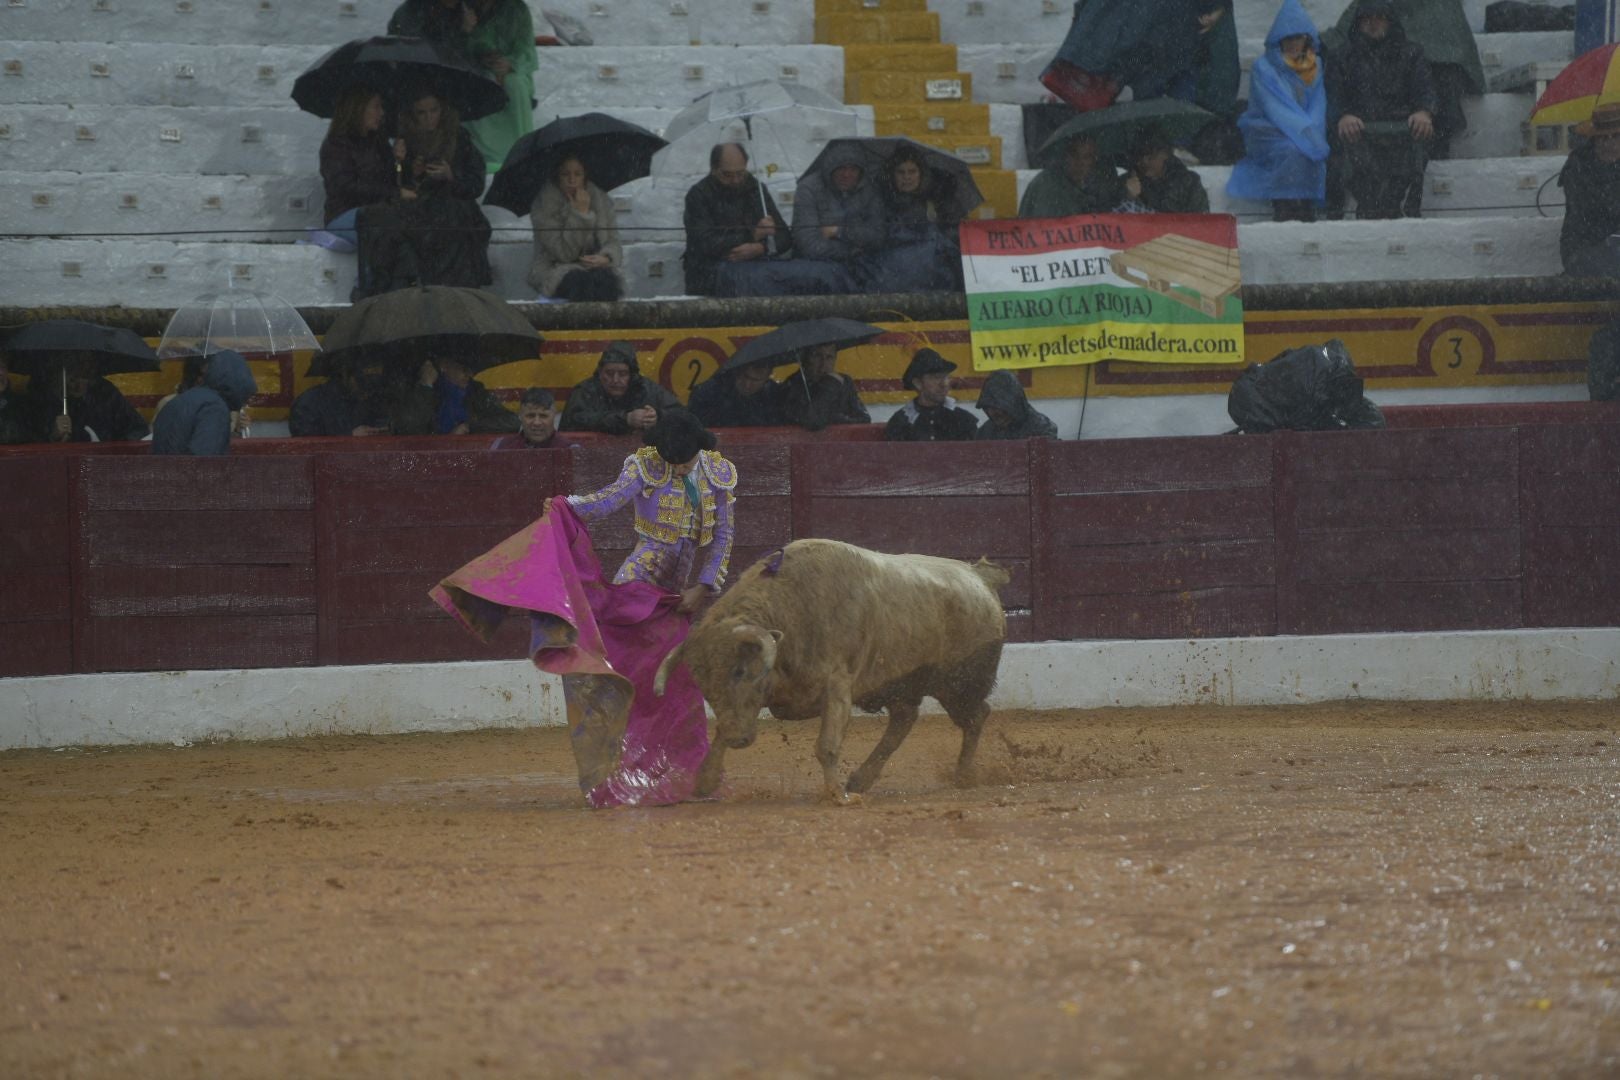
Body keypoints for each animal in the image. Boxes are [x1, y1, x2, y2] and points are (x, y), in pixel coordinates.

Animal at [651, 540, 1004, 803]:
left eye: (739, 671)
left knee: (976, 716)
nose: (740, 739)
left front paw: (836, 795)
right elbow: (722, 730)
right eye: (704, 684)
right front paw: (705, 782)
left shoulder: (837, 686)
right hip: (905, 686)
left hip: (959, 685)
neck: (792, 610)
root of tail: (980, 577)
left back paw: (962, 775)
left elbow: (827, 746)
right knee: (903, 722)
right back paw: (861, 779)